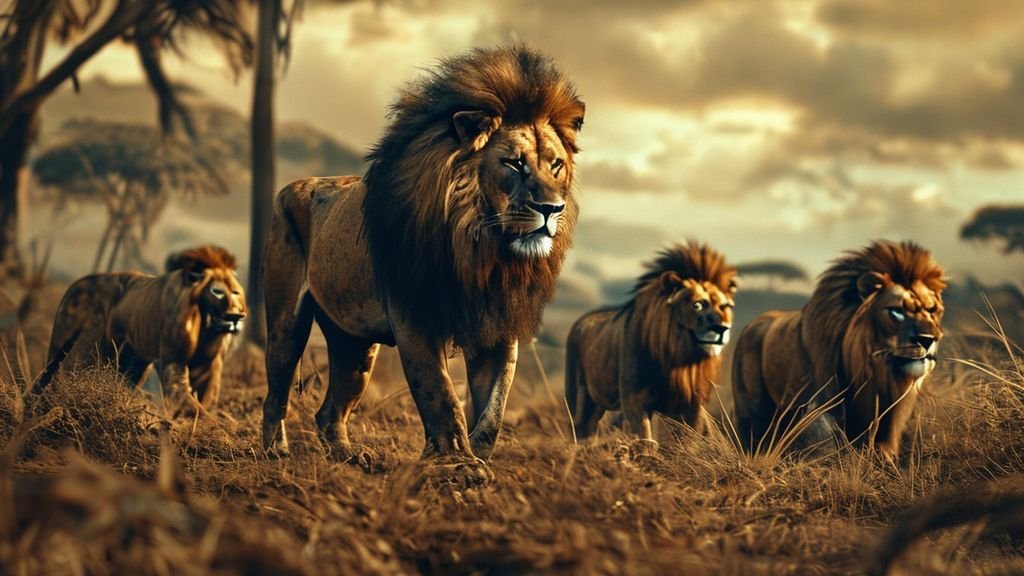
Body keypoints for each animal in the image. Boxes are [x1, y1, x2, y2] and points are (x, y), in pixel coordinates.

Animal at [33, 245, 247, 411]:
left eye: (235, 292)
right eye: (217, 292)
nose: (237, 315)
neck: (207, 326)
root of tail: (74, 285)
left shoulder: (207, 366)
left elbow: (204, 399)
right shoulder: (173, 361)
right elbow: (189, 404)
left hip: (132, 360)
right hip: (88, 347)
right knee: (64, 373)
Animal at [260, 46, 585, 463]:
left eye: (555, 164)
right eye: (514, 163)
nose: (551, 208)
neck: (484, 252)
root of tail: (294, 185)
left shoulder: (498, 322)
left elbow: (493, 408)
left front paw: (474, 453)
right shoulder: (413, 315)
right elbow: (440, 395)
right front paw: (457, 463)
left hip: (353, 344)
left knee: (329, 411)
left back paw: (349, 455)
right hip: (287, 320)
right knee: (276, 393)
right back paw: (275, 450)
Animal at [565, 243, 737, 450]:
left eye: (725, 307)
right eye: (697, 305)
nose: (722, 328)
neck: (679, 360)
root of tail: (581, 321)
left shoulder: (690, 404)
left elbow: (687, 439)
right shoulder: (634, 399)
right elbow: (645, 439)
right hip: (580, 395)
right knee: (580, 427)